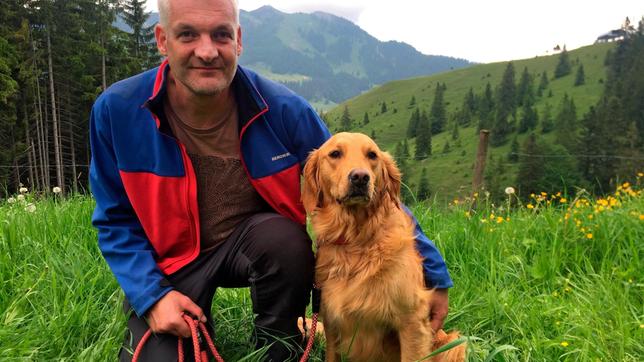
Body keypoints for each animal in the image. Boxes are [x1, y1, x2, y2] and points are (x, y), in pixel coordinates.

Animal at [302, 133, 462, 362]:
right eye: (335, 153)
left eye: (372, 155)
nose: (360, 177)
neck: (355, 240)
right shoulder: (332, 323)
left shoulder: (412, 323)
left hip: (453, 345)